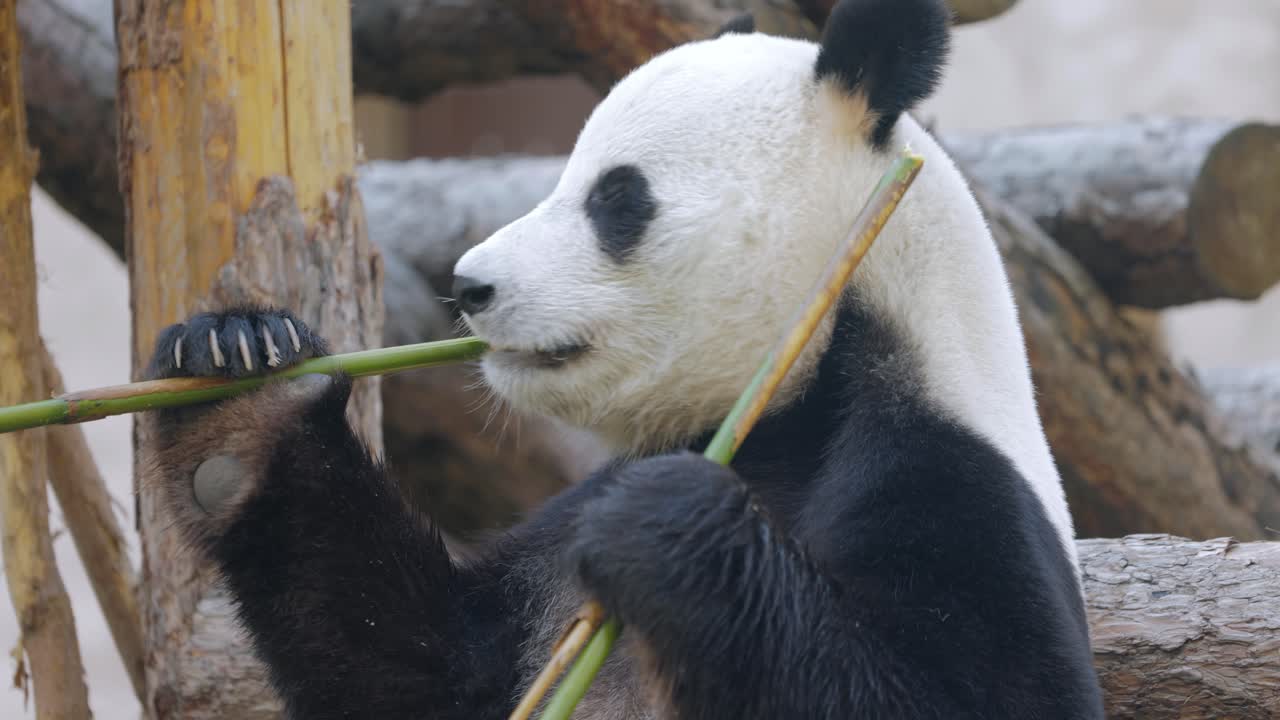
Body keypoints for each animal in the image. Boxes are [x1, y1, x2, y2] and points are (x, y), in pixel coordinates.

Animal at [142, 0, 1104, 717]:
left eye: (616, 199)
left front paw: (668, 522)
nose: (469, 286)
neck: (804, 388)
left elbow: (982, 695)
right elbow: (420, 671)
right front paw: (238, 383)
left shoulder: (957, 483)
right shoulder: (555, 548)